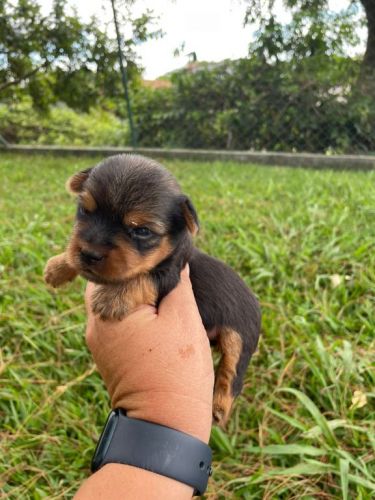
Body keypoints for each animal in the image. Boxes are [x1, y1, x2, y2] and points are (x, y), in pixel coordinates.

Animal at [44, 153, 262, 426]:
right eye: (85, 210)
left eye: (141, 231)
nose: (90, 254)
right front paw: (58, 267)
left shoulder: (168, 275)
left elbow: (143, 279)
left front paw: (112, 298)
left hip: (241, 337)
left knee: (233, 374)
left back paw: (218, 408)